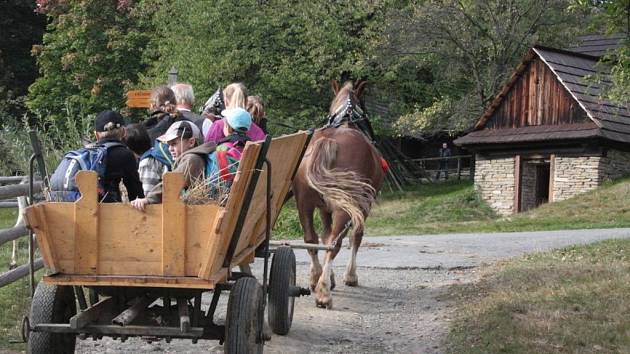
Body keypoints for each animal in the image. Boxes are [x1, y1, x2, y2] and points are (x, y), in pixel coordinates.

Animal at [296, 79, 386, 306]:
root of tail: (327, 141)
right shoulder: (362, 206)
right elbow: (356, 236)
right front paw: (350, 276)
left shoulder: (324, 208)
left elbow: (324, 236)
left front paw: (330, 276)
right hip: (346, 206)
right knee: (334, 244)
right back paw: (323, 291)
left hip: (304, 203)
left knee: (311, 240)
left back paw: (316, 278)